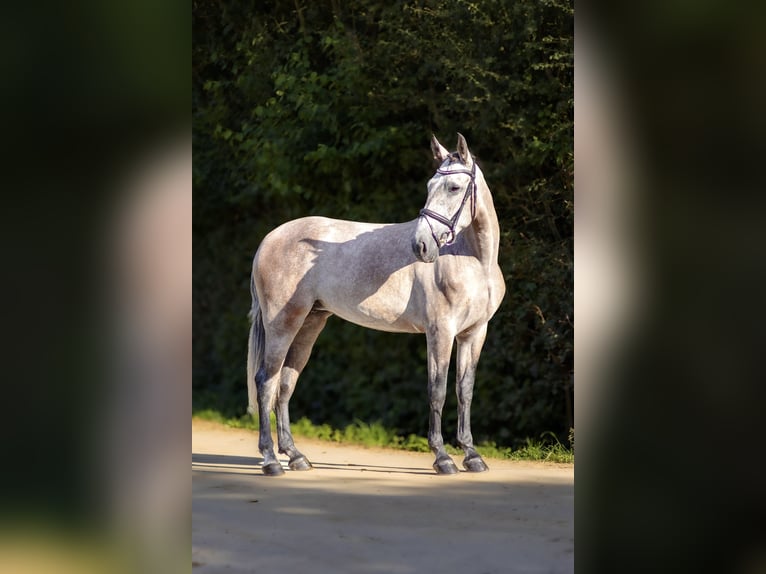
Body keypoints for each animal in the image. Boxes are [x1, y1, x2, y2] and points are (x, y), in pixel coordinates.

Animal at [249, 135, 508, 476]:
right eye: (429, 185)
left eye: (453, 187)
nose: (421, 246)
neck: (474, 260)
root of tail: (269, 239)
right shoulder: (440, 332)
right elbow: (437, 390)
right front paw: (442, 458)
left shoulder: (474, 333)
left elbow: (464, 390)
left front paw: (472, 455)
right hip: (283, 324)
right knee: (266, 381)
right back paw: (270, 461)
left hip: (309, 323)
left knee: (285, 383)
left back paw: (295, 456)